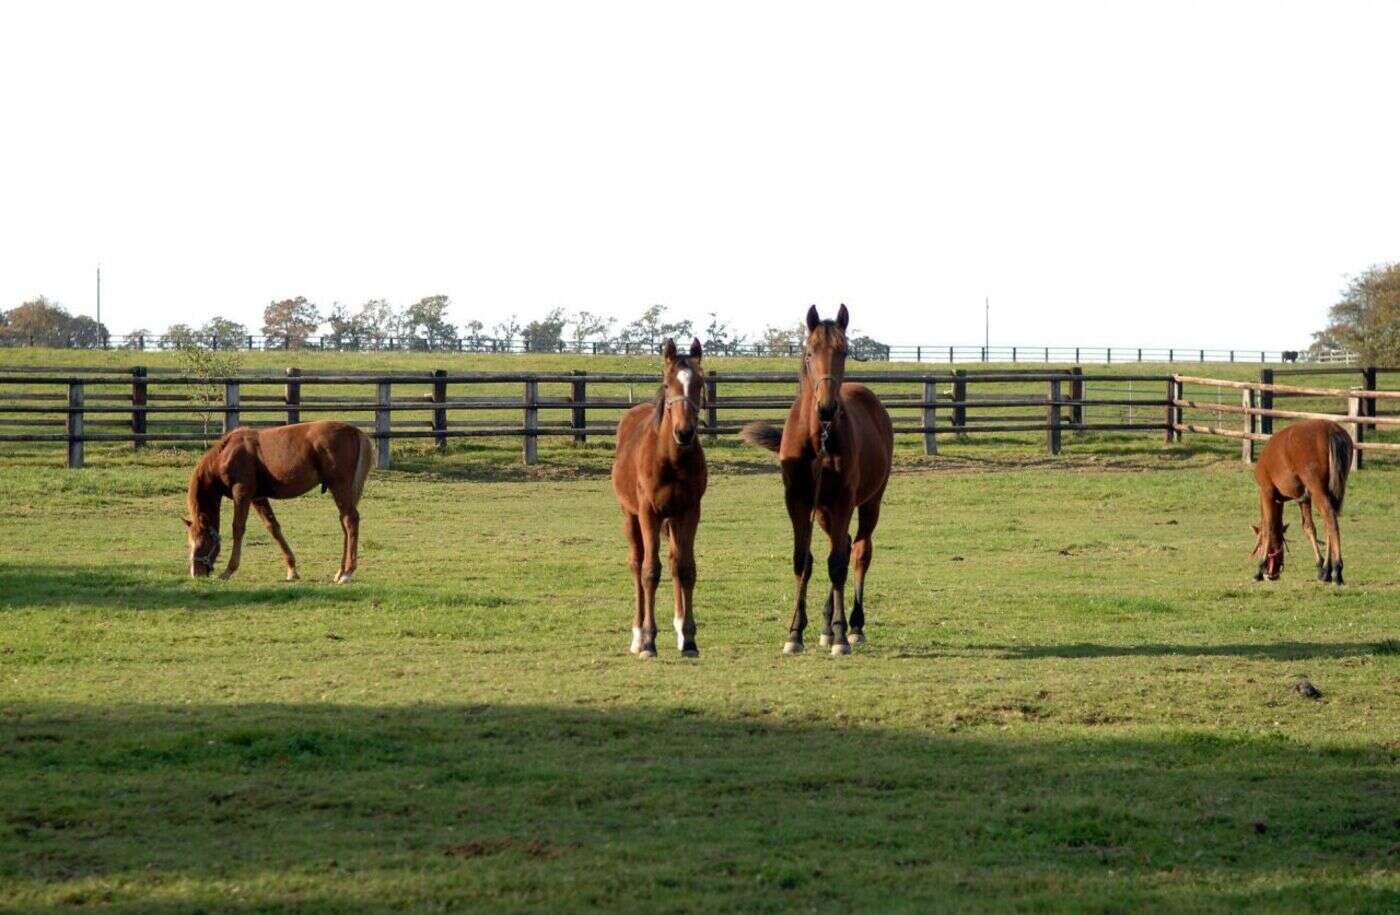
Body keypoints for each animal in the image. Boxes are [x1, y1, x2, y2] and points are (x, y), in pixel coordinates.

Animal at [183, 422, 375, 582]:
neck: (226, 454)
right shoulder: (257, 498)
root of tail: (356, 432)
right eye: (189, 544)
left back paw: (348, 572)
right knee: (344, 522)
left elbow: (238, 528)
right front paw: (292, 569)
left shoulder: (242, 493)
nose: (196, 574)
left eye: (202, 543)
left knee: (350, 521)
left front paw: (229, 571)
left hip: (339, 487)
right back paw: (340, 571)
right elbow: (273, 527)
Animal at [610, 337, 711, 660]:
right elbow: (650, 572)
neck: (672, 459)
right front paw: (648, 642)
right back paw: (637, 635)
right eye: (667, 384)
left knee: (675, 560)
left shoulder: (690, 511)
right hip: (630, 516)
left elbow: (686, 569)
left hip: (673, 519)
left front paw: (689, 639)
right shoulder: (649, 513)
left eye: (700, 383)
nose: (684, 432)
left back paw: (679, 630)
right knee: (636, 563)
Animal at [739, 307, 890, 660]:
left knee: (858, 552)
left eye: (844, 351)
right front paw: (795, 632)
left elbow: (837, 564)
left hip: (869, 502)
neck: (817, 437)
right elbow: (803, 561)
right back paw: (826, 624)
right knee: (844, 545)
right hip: (823, 511)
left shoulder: (843, 501)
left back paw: (853, 625)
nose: (826, 408)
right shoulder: (798, 501)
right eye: (809, 352)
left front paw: (840, 638)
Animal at [1254, 419, 1349, 584]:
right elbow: (1309, 528)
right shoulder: (1303, 498)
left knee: (1330, 518)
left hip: (1317, 489)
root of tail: (1331, 429)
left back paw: (1337, 569)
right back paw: (1328, 569)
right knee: (1329, 523)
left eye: (1258, 546)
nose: (1272, 574)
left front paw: (1260, 568)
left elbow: (1267, 527)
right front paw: (1321, 567)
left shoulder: (1266, 492)